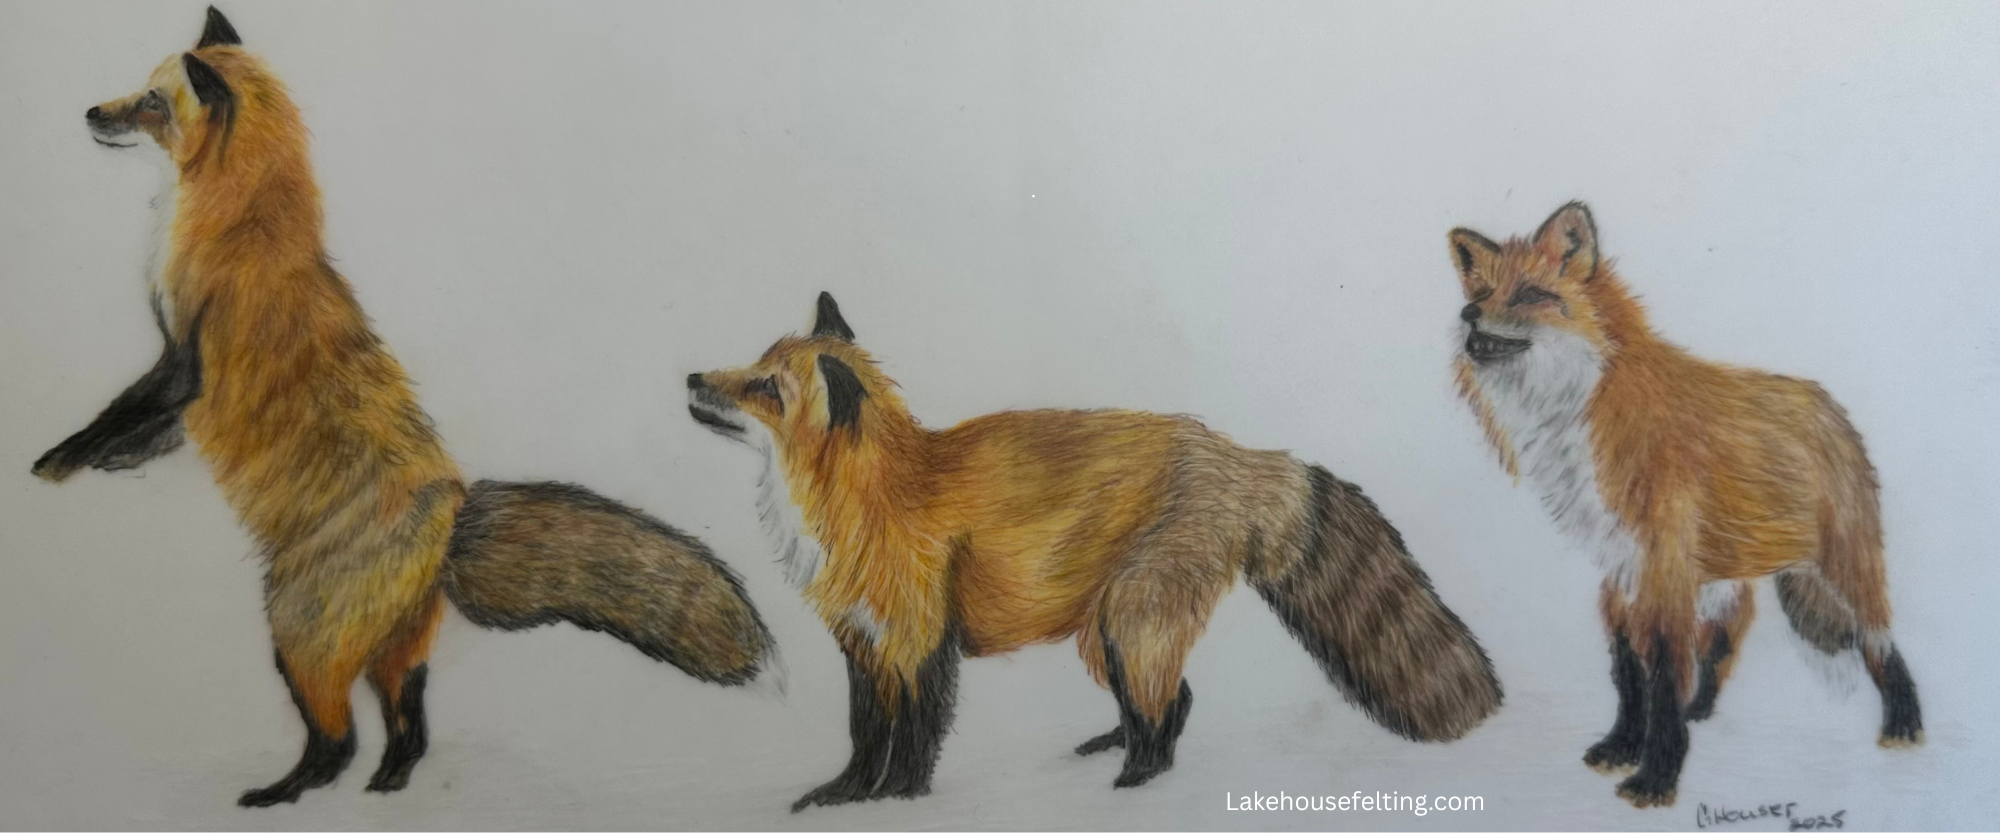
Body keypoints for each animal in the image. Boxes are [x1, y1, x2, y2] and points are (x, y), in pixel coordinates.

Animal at [34, 7, 775, 806]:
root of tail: (451, 515)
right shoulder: (179, 383)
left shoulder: (181, 365)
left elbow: (110, 422)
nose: (90, 113)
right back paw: (387, 788)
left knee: (337, 741)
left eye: (150, 102)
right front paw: (103, 467)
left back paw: (282, 794)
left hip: (298, 635)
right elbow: (143, 436)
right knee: (410, 728)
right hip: (395, 653)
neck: (241, 226)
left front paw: (52, 466)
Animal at [687, 292, 1503, 812]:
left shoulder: (920, 643)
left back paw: (1135, 786)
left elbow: (914, 739)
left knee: (1164, 711)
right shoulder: (864, 645)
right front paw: (843, 798)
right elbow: (864, 739)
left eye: (765, 387)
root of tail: (1242, 454)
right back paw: (1113, 751)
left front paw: (900, 802)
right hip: (1103, 634)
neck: (866, 500)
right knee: (1174, 700)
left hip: (1130, 621)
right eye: (752, 364)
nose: (692, 375)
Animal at [1447, 201, 1923, 808]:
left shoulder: (1661, 570)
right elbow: (1630, 675)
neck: (1576, 417)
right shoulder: (1621, 571)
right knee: (1722, 647)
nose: (1467, 314)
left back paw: (1904, 728)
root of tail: (1829, 405)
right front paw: (1622, 747)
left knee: (1881, 645)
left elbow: (1662, 679)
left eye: (1530, 294)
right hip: (1722, 584)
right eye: (1482, 292)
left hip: (1842, 571)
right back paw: (1703, 711)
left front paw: (1655, 779)